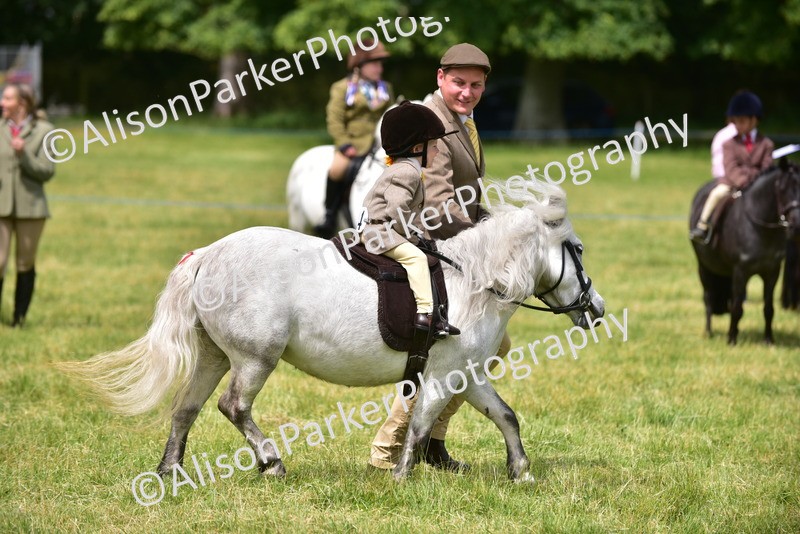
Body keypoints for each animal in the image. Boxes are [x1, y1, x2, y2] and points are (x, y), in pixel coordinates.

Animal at [58, 179, 605, 483]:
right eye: (578, 249)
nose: (596, 309)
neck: (473, 280)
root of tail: (209, 254)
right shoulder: (442, 375)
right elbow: (421, 423)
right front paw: (403, 476)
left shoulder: (465, 374)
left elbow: (505, 416)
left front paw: (521, 472)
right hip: (255, 358)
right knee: (234, 407)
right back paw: (271, 462)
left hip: (214, 356)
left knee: (185, 408)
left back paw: (170, 472)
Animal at [689, 160, 800, 345]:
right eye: (782, 188)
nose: (797, 226)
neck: (761, 229)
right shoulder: (741, 271)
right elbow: (737, 307)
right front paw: (731, 339)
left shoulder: (772, 272)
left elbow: (768, 307)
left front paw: (769, 340)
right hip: (704, 267)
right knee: (708, 298)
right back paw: (709, 332)